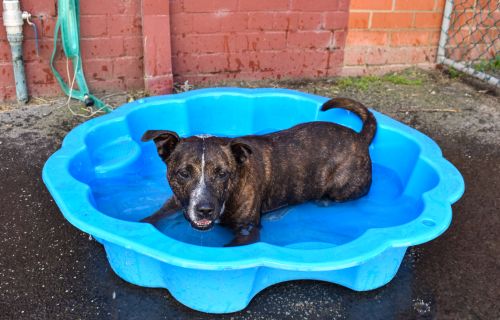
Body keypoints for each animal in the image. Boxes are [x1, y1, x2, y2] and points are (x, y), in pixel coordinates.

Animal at [140, 96, 376, 246]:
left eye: (222, 173)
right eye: (184, 173)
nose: (205, 209)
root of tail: (359, 137)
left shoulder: (247, 230)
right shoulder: (176, 201)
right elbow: (153, 217)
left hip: (342, 188)